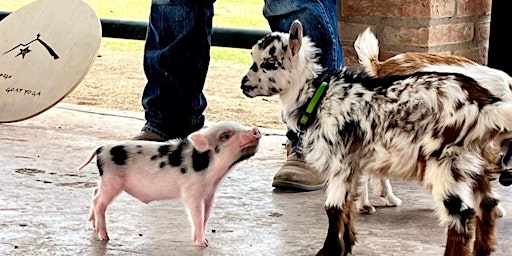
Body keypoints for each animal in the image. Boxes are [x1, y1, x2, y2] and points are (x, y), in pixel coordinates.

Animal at [241, 20, 512, 256]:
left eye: (270, 62)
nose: (244, 84)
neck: (318, 96)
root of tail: (484, 103)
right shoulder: (354, 166)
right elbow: (348, 205)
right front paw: (347, 245)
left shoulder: (340, 162)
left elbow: (333, 208)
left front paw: (328, 251)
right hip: (473, 162)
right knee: (486, 206)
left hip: (445, 161)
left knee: (461, 217)